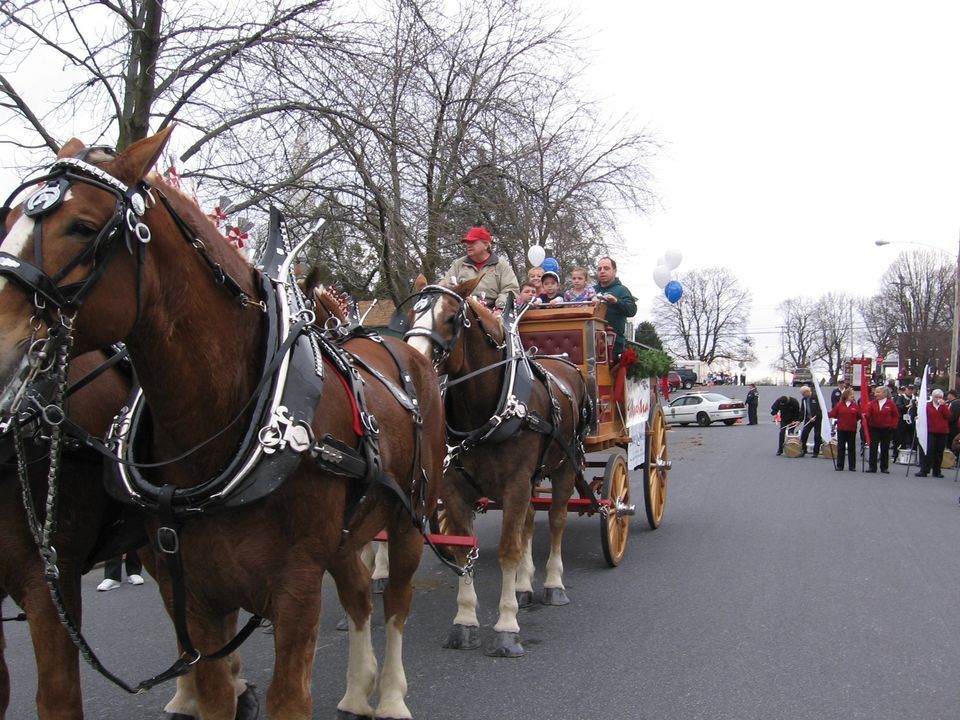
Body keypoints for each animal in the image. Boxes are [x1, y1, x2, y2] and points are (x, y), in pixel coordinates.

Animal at [0, 131, 446, 720]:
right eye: (7, 219)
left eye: (83, 227)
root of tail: (402, 347)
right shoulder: (195, 593)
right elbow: (213, 691)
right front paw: (222, 692)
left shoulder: (296, 589)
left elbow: (288, 698)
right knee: (355, 594)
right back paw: (355, 690)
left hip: (408, 516)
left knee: (396, 601)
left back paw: (390, 694)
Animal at [404, 280, 592, 660]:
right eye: (410, 315)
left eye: (451, 318)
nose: (413, 369)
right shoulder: (454, 488)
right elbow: (465, 550)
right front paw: (464, 622)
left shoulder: (516, 484)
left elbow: (508, 550)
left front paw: (506, 626)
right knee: (529, 523)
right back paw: (524, 586)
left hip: (565, 466)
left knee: (557, 520)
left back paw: (552, 583)